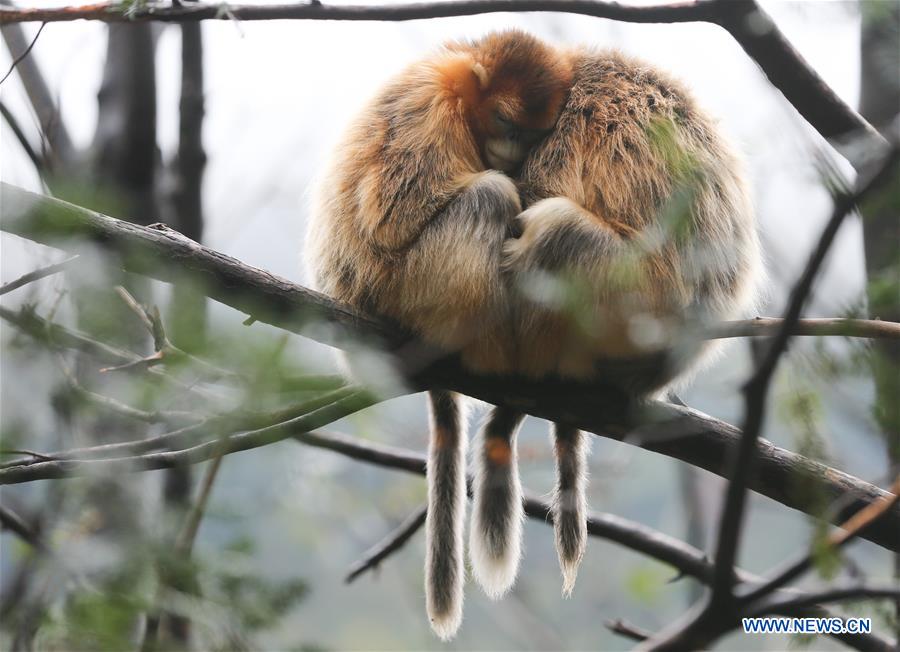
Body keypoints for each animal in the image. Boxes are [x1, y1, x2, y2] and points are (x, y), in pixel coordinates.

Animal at [304, 30, 573, 640]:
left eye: (531, 133)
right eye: (506, 121)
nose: (513, 152)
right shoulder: (430, 106)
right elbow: (394, 214)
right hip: (406, 286)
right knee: (489, 195)